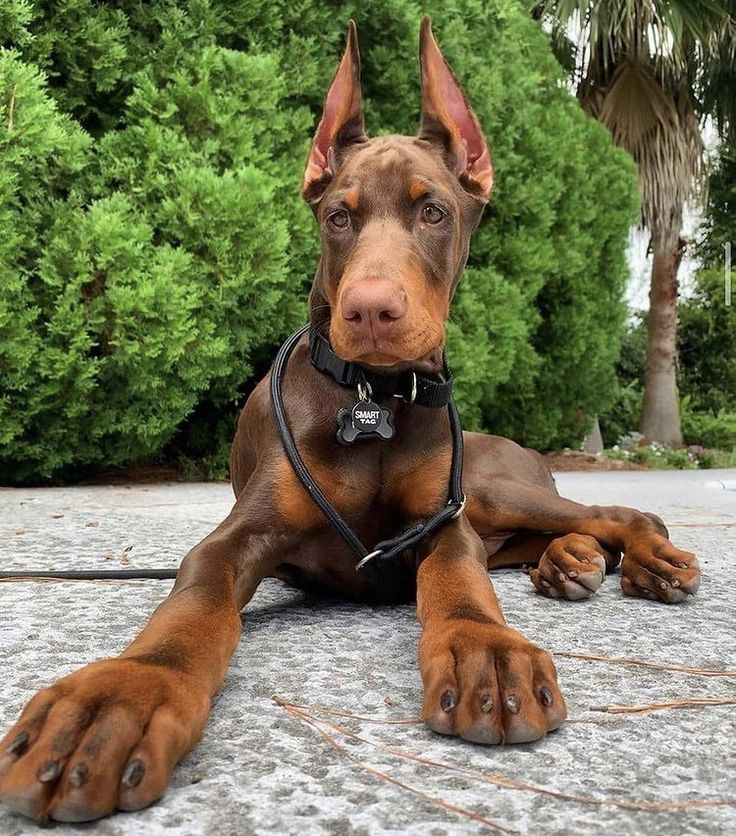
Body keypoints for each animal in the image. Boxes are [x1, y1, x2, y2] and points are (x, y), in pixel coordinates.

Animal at [0, 18, 700, 824]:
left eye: (433, 212)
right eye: (339, 217)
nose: (370, 310)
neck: (373, 400)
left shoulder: (441, 522)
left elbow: (461, 577)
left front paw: (487, 649)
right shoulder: (240, 534)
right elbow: (192, 604)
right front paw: (122, 692)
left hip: (489, 485)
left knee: (617, 512)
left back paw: (644, 560)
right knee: (547, 536)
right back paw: (570, 561)